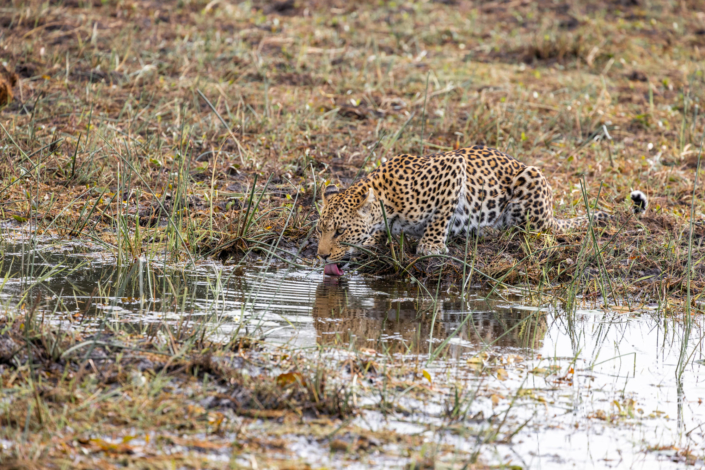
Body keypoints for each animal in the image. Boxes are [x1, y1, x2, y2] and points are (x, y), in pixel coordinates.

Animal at [316, 145, 648, 278]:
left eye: (340, 231)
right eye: (320, 230)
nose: (320, 256)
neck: (388, 199)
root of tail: (551, 211)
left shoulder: (452, 168)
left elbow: (441, 216)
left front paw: (430, 246)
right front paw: (372, 241)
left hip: (531, 182)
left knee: (533, 229)